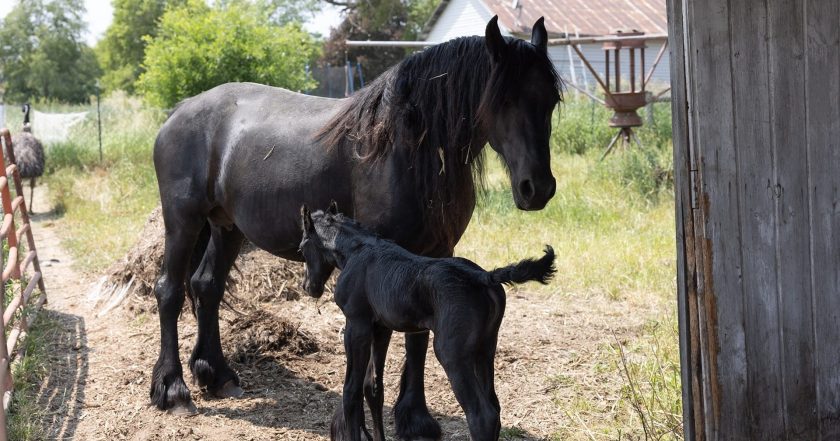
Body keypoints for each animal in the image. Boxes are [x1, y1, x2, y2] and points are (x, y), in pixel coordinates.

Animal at [298, 203, 556, 440]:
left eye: (302, 248)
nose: (308, 286)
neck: (357, 249)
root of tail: (483, 276)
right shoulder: (380, 328)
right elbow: (373, 387)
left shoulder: (356, 324)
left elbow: (351, 390)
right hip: (485, 348)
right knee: (494, 406)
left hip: (451, 352)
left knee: (482, 415)